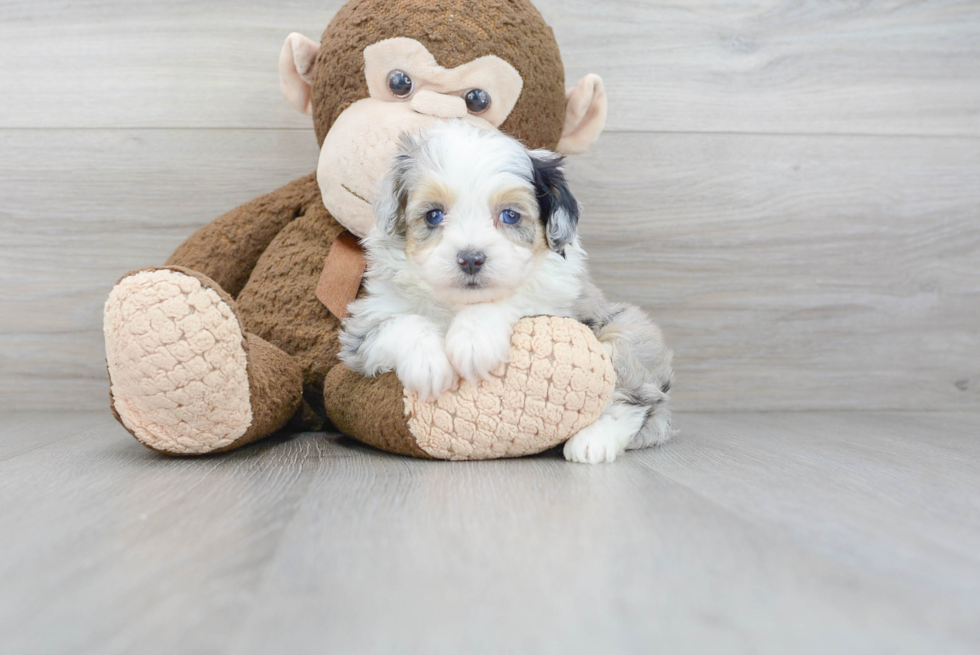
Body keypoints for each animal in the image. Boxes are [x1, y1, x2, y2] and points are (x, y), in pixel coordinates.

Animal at [338, 120, 672, 464]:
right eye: (433, 215)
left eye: (510, 215)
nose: (471, 259)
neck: (457, 303)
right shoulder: (361, 330)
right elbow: (402, 323)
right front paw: (428, 364)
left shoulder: (558, 304)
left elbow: (512, 298)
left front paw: (474, 340)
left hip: (627, 334)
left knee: (637, 401)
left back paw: (593, 441)